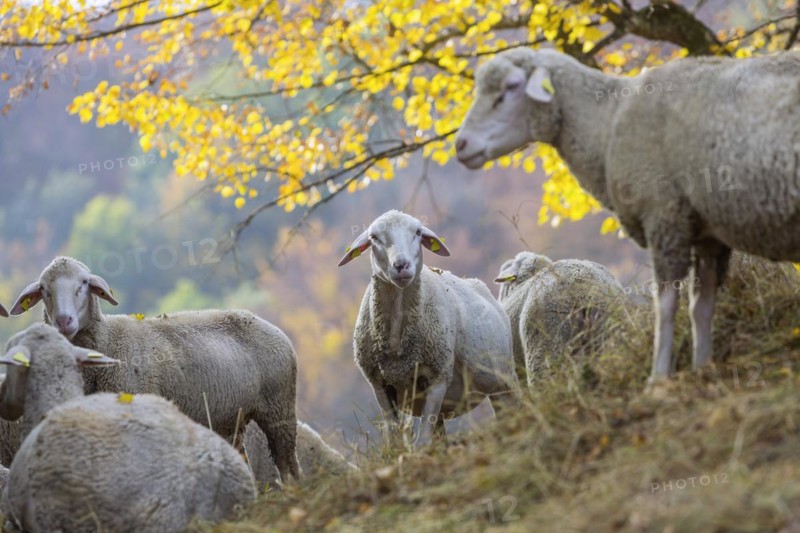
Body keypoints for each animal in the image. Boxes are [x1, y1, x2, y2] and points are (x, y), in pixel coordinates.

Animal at [9, 256, 300, 481]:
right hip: (231, 418)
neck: (107, 342)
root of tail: (266, 323)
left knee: (288, 464)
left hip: (280, 409)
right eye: (44, 288)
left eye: (83, 283)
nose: (64, 321)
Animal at [338, 210, 518, 444]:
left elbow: (423, 441)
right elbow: (395, 437)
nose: (401, 265)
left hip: (504, 380)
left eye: (417, 232)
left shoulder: (438, 377)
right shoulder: (379, 383)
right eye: (374, 238)